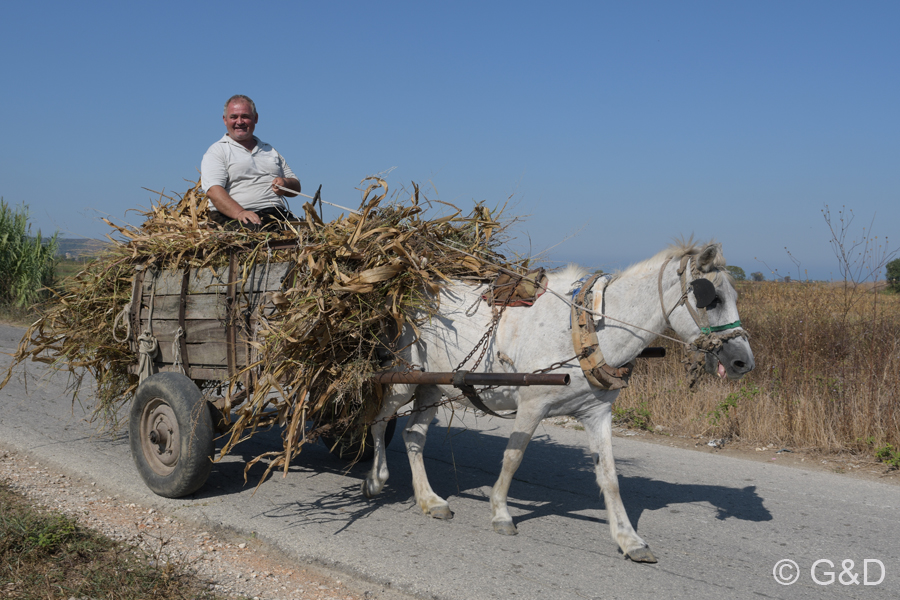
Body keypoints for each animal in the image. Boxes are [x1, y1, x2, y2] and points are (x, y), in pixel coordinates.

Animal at [364, 240, 752, 564]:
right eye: (710, 297)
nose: (742, 361)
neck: (587, 330)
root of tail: (410, 289)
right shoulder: (531, 405)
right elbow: (513, 458)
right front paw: (501, 512)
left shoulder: (597, 413)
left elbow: (610, 477)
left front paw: (629, 539)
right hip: (402, 376)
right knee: (378, 421)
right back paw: (376, 479)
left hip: (434, 386)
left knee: (414, 436)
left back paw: (429, 499)